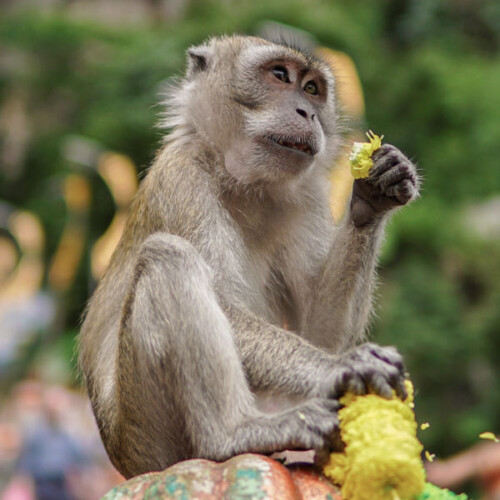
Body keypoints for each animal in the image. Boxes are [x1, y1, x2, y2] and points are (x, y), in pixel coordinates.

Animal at [79, 33, 422, 478]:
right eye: (279, 75)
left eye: (312, 88)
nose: (307, 111)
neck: (242, 181)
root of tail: (125, 461)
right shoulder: (182, 179)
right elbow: (227, 306)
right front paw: (345, 365)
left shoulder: (307, 197)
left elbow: (321, 331)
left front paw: (376, 192)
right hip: (149, 434)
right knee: (168, 257)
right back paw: (235, 432)